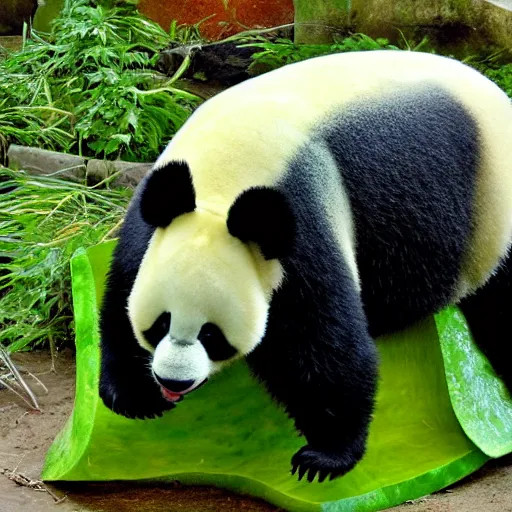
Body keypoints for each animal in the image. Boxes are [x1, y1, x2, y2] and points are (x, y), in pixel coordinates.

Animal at [99, 51, 512, 484]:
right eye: (161, 323)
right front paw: (134, 396)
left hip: (494, 212)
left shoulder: (301, 220)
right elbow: (121, 294)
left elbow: (321, 343)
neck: (221, 180)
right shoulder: (152, 222)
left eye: (212, 334)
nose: (172, 380)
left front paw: (324, 456)